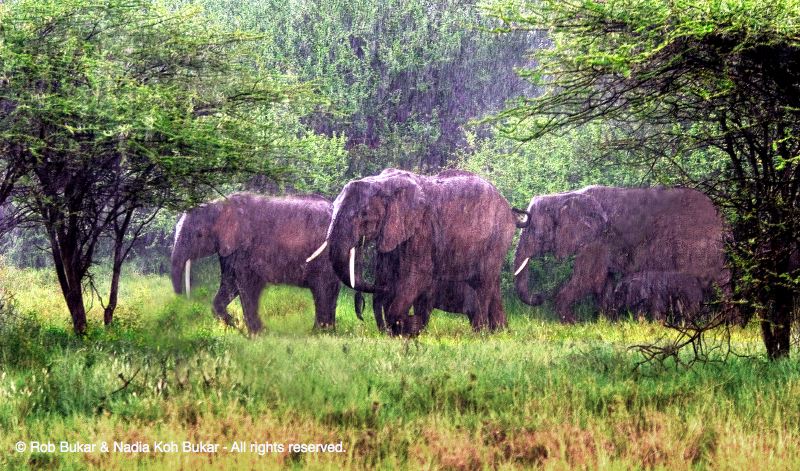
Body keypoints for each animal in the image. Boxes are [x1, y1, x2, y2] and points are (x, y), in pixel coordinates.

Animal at [175, 194, 366, 334]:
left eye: (198, 234)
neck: (219, 204)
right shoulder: (230, 250)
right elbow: (230, 284)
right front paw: (235, 324)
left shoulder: (245, 247)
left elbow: (246, 284)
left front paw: (257, 333)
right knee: (330, 290)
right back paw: (327, 332)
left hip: (325, 256)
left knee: (322, 288)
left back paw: (319, 333)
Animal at [306, 169, 524, 336]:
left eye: (364, 215)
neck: (384, 183)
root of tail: (509, 209)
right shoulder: (392, 231)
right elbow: (388, 273)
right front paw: (398, 330)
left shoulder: (422, 228)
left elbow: (417, 275)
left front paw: (410, 328)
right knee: (492, 284)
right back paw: (501, 333)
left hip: (497, 237)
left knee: (483, 281)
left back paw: (480, 334)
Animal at [512, 186, 732, 322]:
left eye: (534, 231)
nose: (539, 296)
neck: (564, 197)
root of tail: (721, 219)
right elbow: (603, 283)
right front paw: (606, 322)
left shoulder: (597, 240)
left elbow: (589, 279)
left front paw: (573, 324)